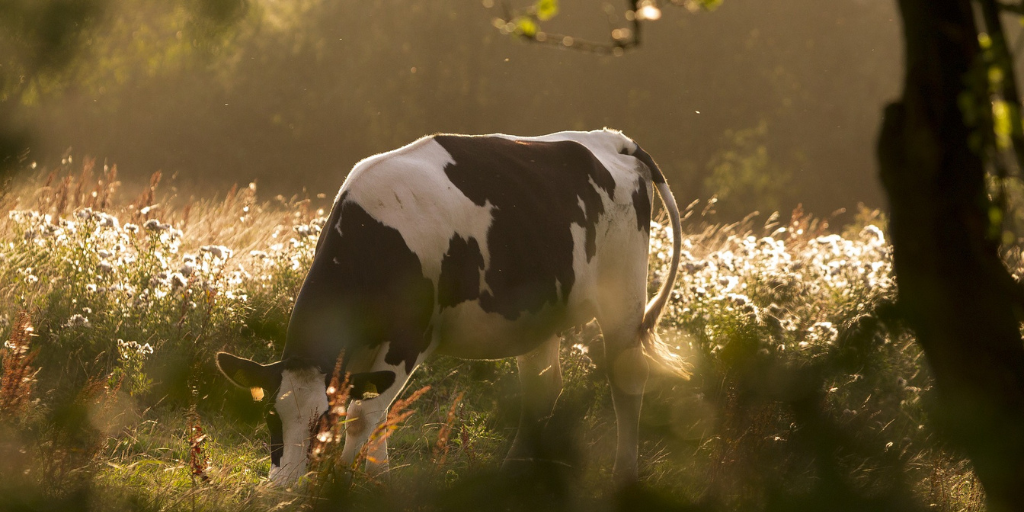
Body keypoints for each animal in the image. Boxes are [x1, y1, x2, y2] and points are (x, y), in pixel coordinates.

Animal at [214, 126, 688, 483]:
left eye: (322, 425)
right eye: (271, 418)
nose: (283, 488)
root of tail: (612, 139)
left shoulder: (409, 336)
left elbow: (364, 414)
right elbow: (375, 414)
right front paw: (374, 480)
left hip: (623, 297)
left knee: (627, 380)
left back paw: (624, 475)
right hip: (540, 313)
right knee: (544, 388)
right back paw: (516, 472)